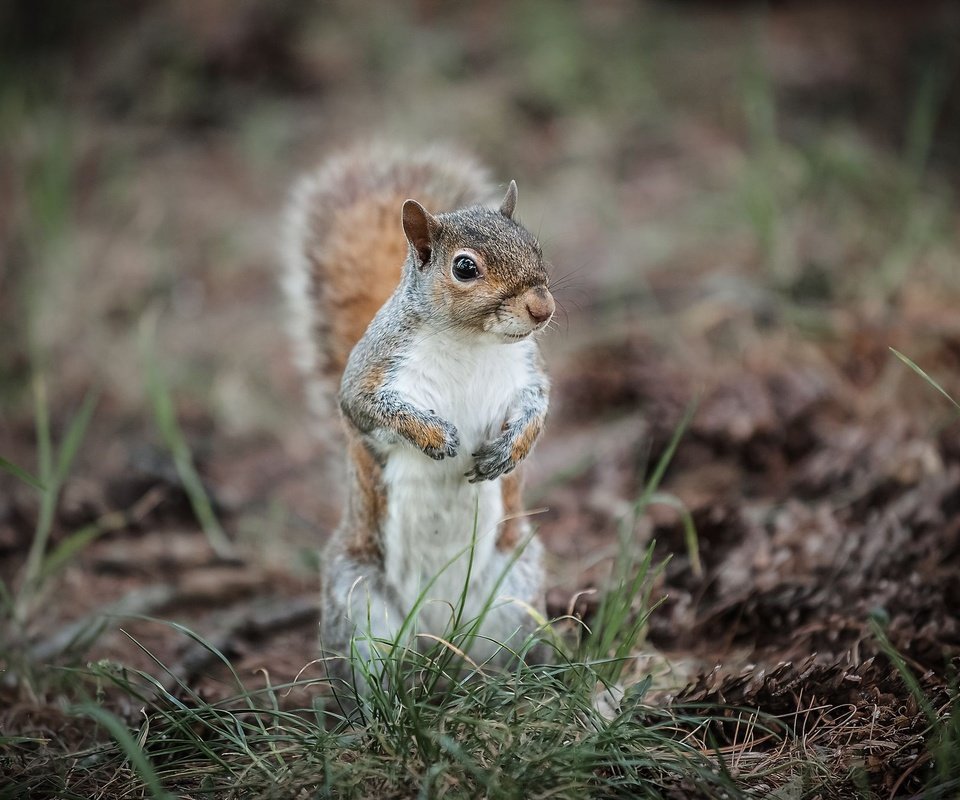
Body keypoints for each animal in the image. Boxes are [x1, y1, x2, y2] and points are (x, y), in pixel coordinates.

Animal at [282, 145, 556, 692]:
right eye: (465, 267)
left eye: (535, 246)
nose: (544, 308)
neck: (470, 341)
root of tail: (437, 630)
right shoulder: (370, 375)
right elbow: (366, 408)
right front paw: (434, 435)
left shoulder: (527, 375)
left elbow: (537, 411)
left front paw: (508, 451)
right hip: (360, 602)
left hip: (515, 590)